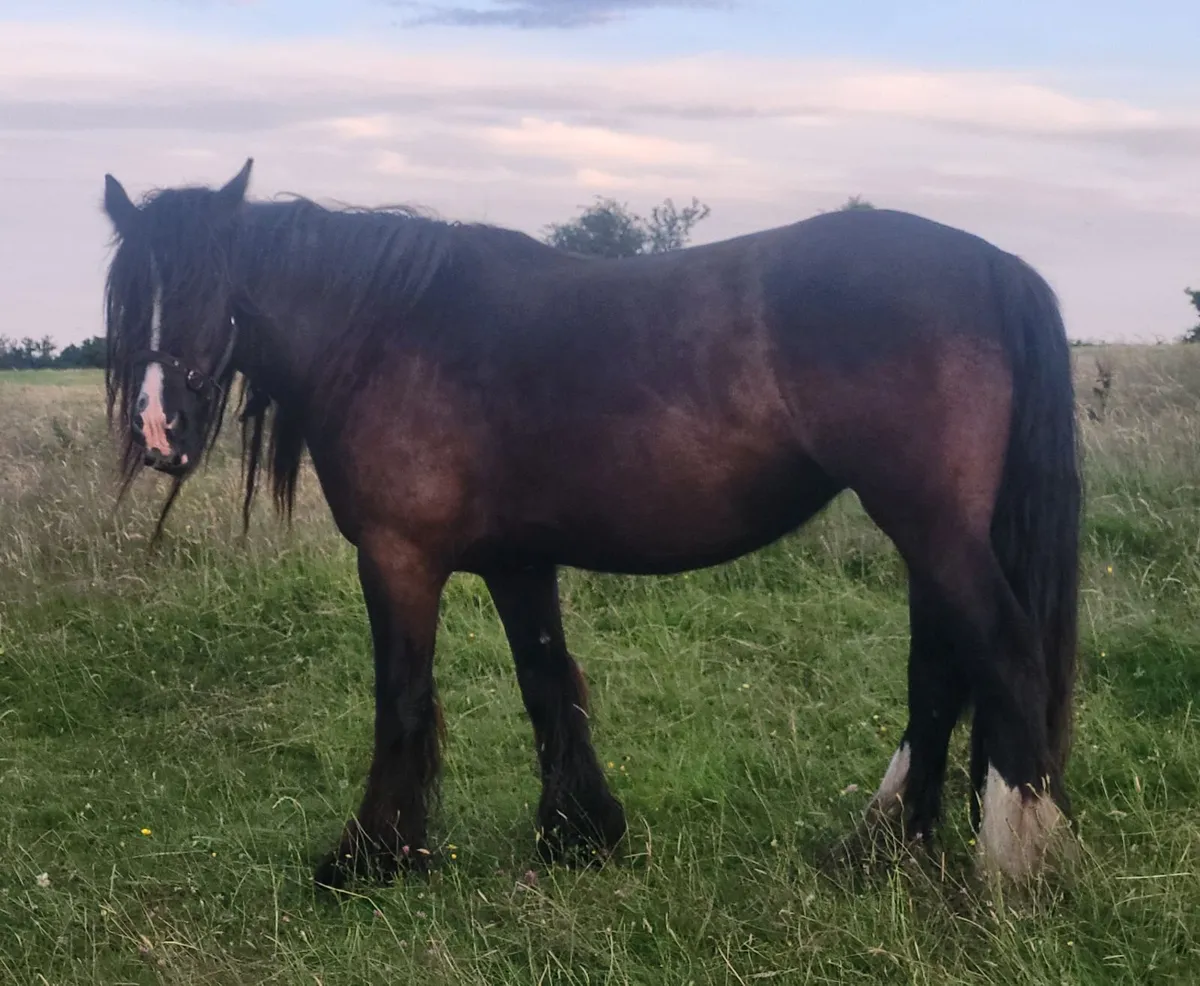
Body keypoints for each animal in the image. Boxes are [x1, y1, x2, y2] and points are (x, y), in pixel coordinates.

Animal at [99, 159, 1082, 889]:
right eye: (126, 296)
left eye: (212, 285)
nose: (158, 429)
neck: (388, 330)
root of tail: (991, 262)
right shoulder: (517, 562)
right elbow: (546, 683)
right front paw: (579, 832)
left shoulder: (399, 558)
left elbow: (402, 699)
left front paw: (371, 857)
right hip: (931, 533)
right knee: (940, 671)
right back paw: (884, 844)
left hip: (932, 526)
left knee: (1000, 655)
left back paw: (1012, 863)